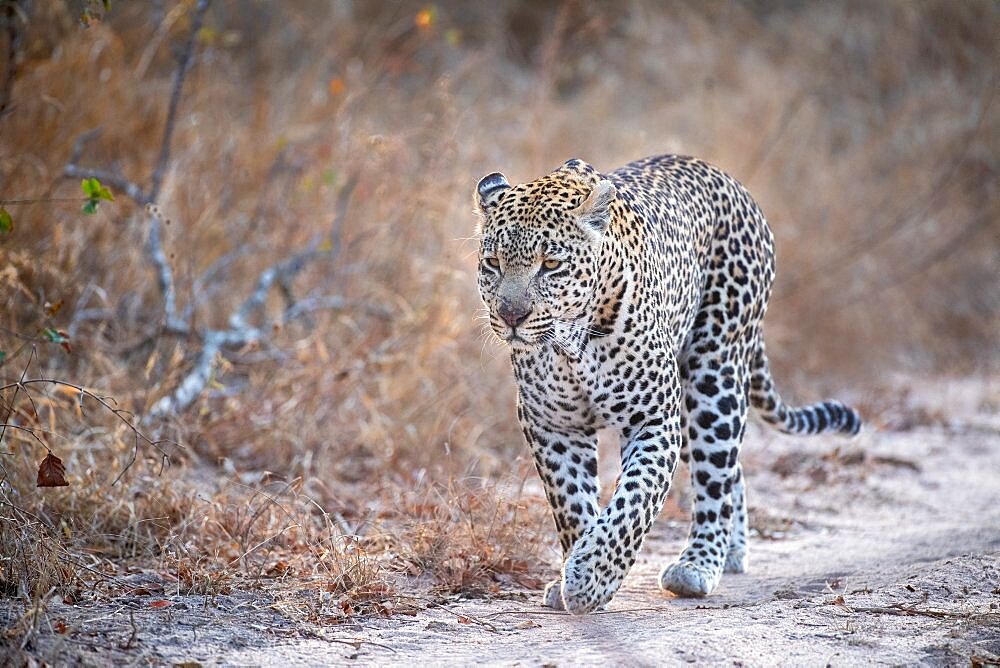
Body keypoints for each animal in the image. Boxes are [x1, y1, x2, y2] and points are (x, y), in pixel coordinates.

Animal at [474, 154, 860, 612]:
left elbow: (634, 502)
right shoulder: (553, 426)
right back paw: (732, 551)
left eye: (550, 265)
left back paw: (699, 563)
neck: (572, 346)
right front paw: (571, 569)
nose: (511, 315)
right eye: (492, 264)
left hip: (713, 377)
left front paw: (591, 579)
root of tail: (725, 178)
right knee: (731, 470)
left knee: (716, 474)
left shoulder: (653, 419)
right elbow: (570, 502)